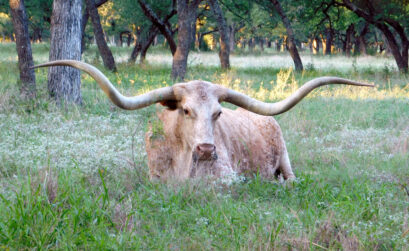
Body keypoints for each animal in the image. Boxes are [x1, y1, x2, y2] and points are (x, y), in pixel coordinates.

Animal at [34, 60, 372, 182]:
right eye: (185, 110)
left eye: (218, 113)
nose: (207, 150)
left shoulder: (228, 175)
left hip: (286, 160)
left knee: (289, 179)